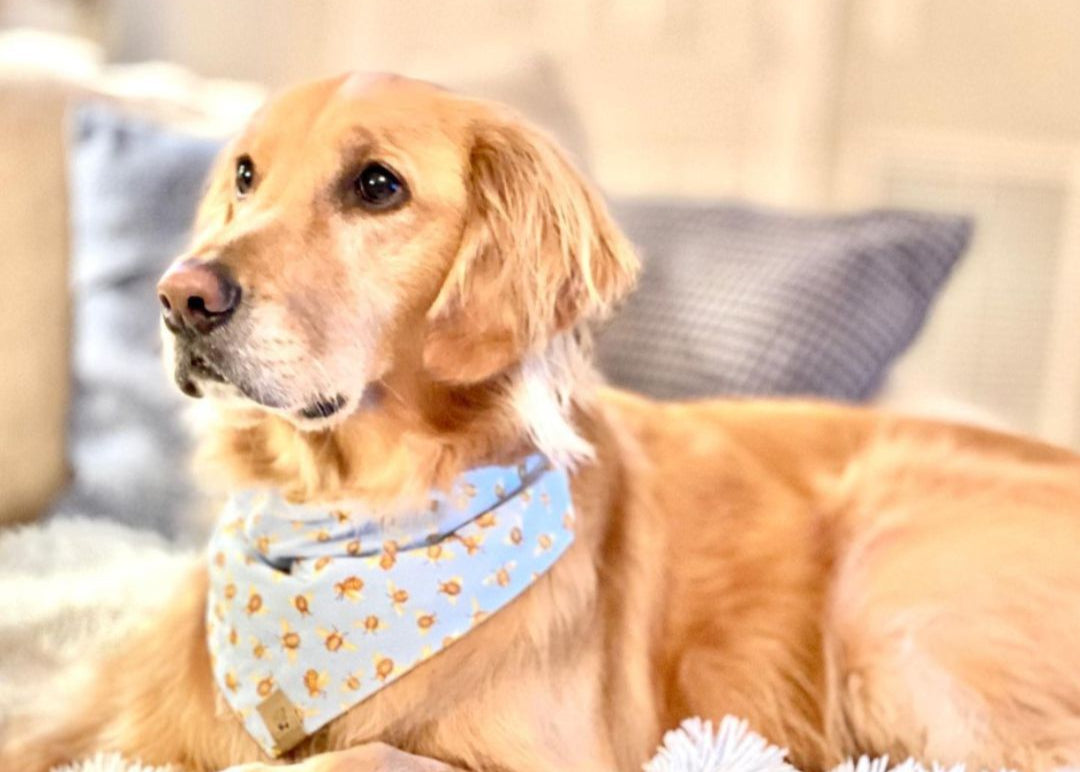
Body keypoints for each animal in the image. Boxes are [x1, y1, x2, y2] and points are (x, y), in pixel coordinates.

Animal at [6, 72, 1080, 772]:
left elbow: (356, 759)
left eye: (377, 186)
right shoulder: (99, 715)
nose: (179, 297)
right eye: (243, 175)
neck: (351, 518)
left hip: (899, 596)